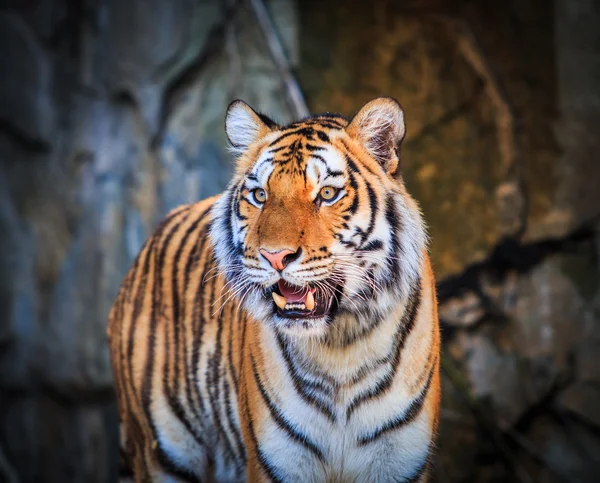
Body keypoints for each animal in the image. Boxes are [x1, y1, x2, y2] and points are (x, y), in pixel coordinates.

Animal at [108, 96, 440, 482]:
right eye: (259, 195)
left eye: (327, 194)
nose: (275, 256)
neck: (341, 349)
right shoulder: (277, 463)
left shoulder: (398, 463)